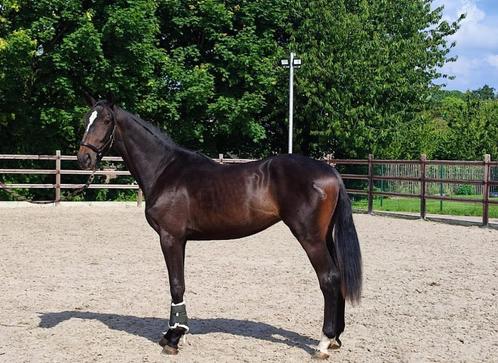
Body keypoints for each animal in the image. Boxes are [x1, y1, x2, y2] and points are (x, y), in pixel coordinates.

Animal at [80, 96, 364, 358]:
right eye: (86, 119)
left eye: (106, 121)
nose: (84, 157)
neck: (164, 170)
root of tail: (330, 171)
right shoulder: (180, 240)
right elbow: (179, 283)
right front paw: (178, 332)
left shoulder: (170, 237)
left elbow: (176, 285)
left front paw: (173, 338)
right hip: (325, 236)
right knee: (338, 277)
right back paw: (336, 338)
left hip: (310, 237)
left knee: (329, 278)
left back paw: (324, 342)